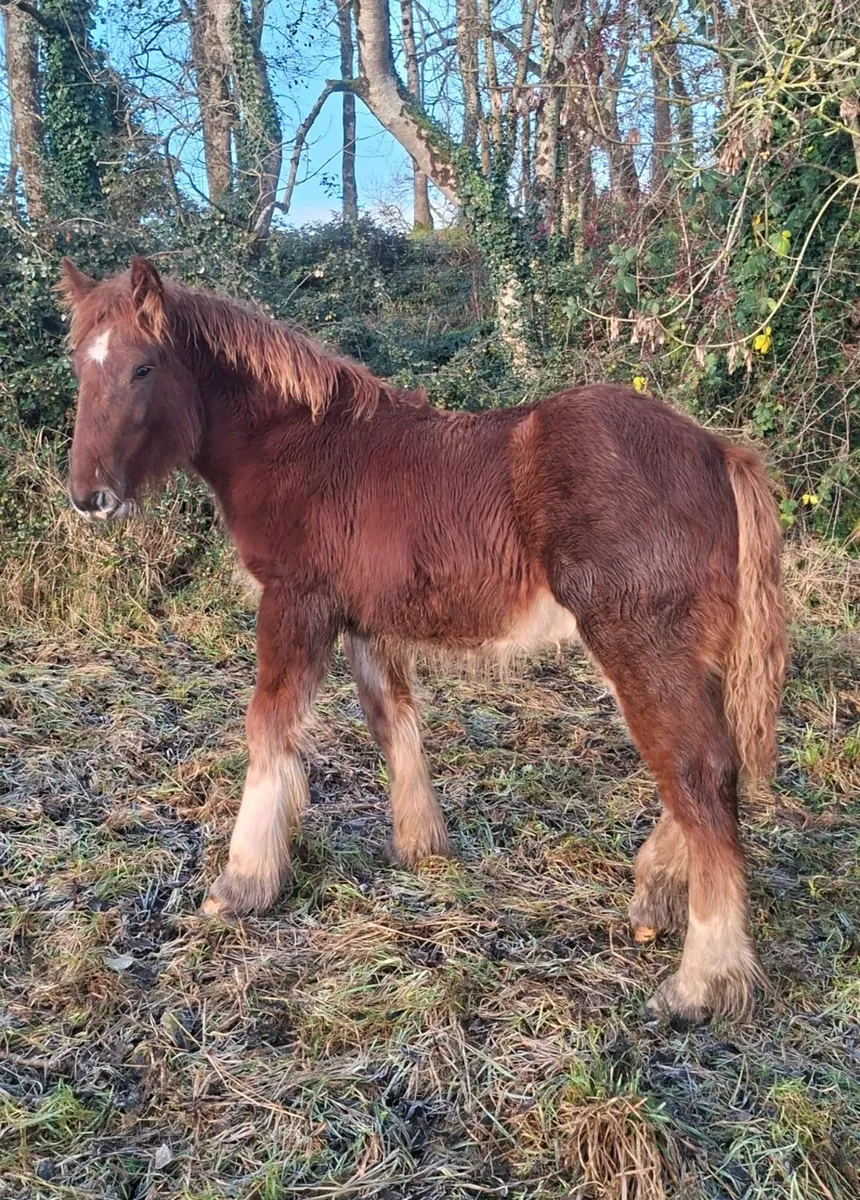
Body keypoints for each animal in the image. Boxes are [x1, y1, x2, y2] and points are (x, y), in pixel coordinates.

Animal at [59, 256, 786, 1022]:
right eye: (79, 362)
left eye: (143, 368)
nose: (88, 496)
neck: (296, 445)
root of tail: (718, 451)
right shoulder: (368, 624)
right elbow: (395, 723)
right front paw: (422, 848)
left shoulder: (295, 605)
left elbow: (269, 728)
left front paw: (244, 883)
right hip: (692, 653)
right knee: (718, 762)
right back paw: (655, 896)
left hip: (640, 644)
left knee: (697, 770)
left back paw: (703, 979)